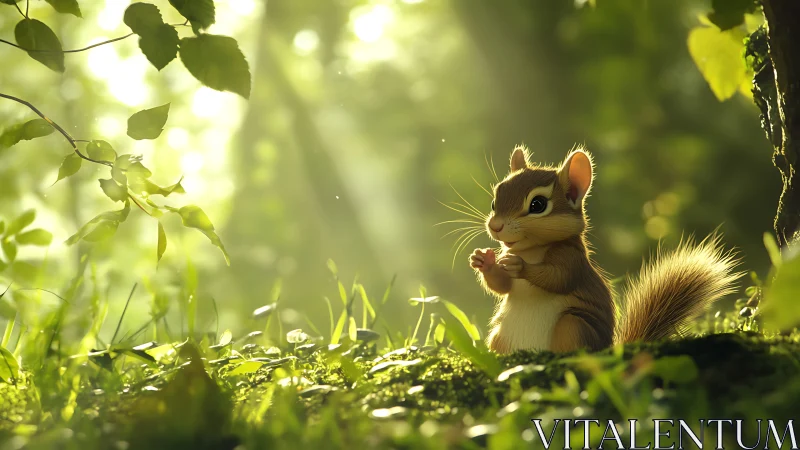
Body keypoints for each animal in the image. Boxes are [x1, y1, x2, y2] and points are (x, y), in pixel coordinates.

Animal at [469, 145, 740, 354]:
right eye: (494, 201)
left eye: (538, 204)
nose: (495, 226)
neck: (532, 249)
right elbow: (502, 286)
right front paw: (484, 261)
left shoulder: (572, 259)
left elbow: (559, 278)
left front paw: (520, 266)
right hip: (499, 337)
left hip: (573, 326)